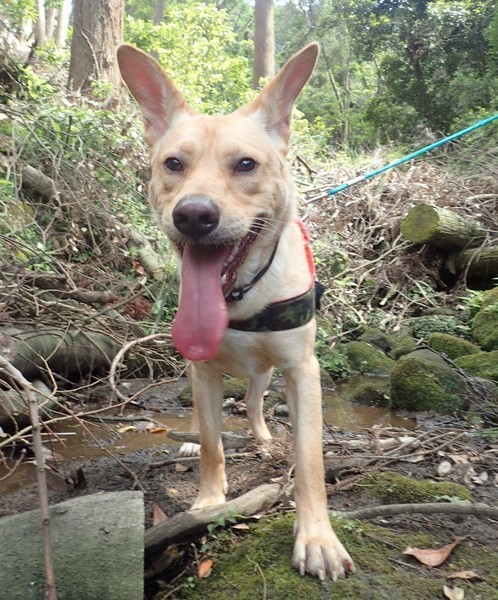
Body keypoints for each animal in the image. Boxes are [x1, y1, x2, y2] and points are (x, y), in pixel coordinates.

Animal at [117, 43, 354, 581]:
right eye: (173, 163)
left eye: (246, 164)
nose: (193, 215)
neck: (241, 296)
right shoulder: (202, 370)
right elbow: (211, 442)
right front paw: (208, 500)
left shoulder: (302, 370)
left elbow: (309, 459)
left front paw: (317, 538)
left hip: (267, 374)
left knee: (253, 402)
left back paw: (263, 436)